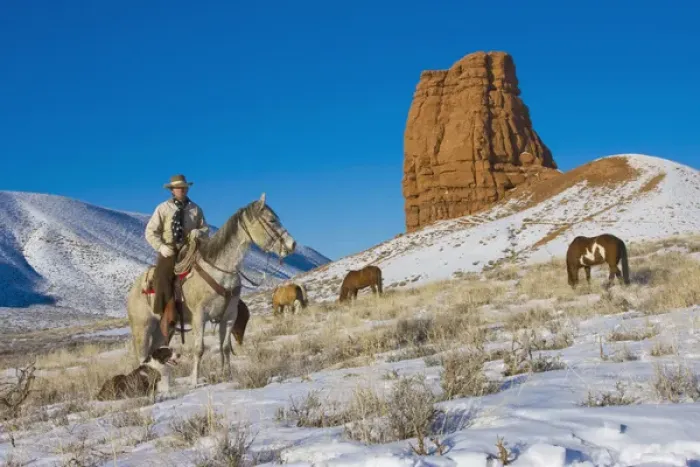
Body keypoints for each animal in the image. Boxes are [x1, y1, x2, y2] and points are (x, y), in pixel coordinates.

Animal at [126, 193, 296, 388]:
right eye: (271, 220)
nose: (292, 245)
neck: (220, 270)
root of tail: (133, 290)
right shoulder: (200, 316)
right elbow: (199, 349)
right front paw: (194, 381)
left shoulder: (228, 316)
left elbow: (225, 347)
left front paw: (227, 376)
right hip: (143, 328)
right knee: (142, 356)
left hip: (161, 330)